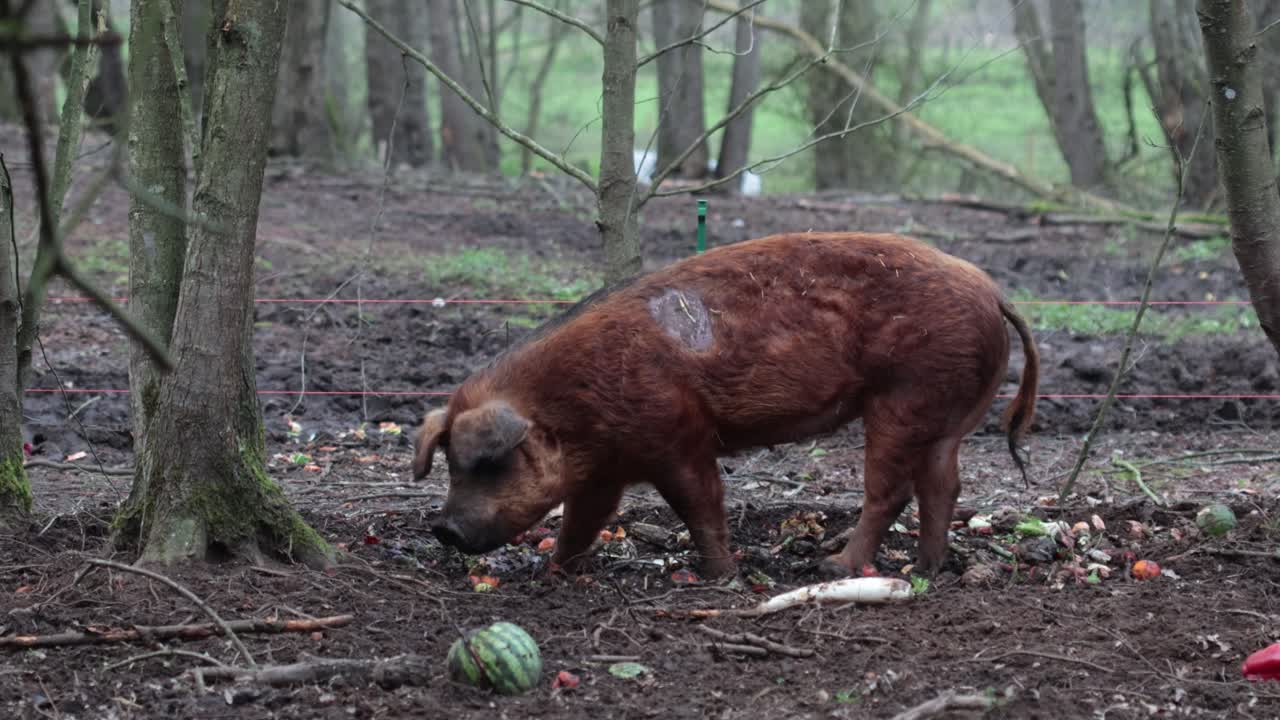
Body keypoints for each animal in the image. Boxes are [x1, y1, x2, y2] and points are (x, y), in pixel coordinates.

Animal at [413, 232, 1039, 579]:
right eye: (449, 464)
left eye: (488, 464)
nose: (442, 528)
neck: (569, 406)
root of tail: (993, 290)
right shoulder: (604, 468)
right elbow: (583, 520)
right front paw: (553, 571)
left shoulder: (677, 434)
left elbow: (699, 503)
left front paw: (720, 576)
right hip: (950, 410)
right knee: (943, 486)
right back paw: (929, 567)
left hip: (904, 397)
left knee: (892, 491)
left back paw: (831, 567)